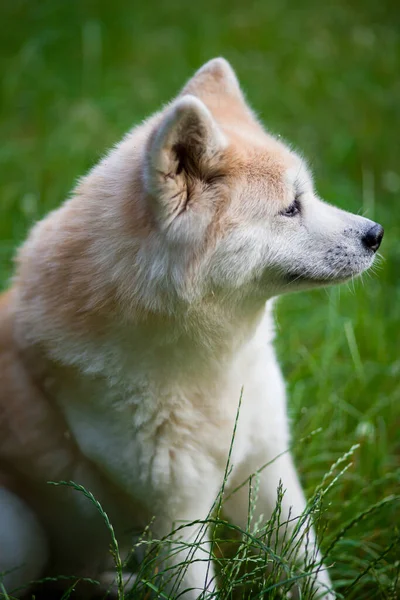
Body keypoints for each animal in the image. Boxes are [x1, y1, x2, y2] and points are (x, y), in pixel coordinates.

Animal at [0, 57, 384, 596]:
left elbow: (309, 571)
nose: (377, 234)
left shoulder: (268, 469)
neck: (217, 366)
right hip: (21, 536)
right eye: (290, 207)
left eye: (307, 195)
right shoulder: (179, 520)